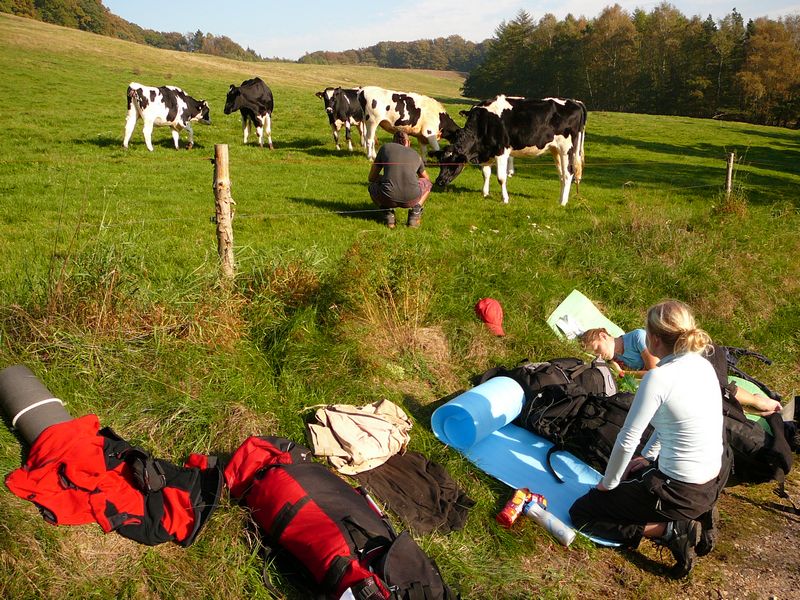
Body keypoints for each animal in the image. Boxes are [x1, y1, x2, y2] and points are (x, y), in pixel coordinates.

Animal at [434, 95, 584, 205]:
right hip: (555, 150)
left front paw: (505, 199)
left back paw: (563, 202)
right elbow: (486, 173)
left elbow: (501, 178)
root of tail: (575, 102)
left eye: (453, 163)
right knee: (562, 175)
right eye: (440, 162)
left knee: (568, 174)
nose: (439, 181)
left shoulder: (501, 151)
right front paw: (485, 193)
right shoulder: (486, 153)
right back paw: (560, 199)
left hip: (567, 149)